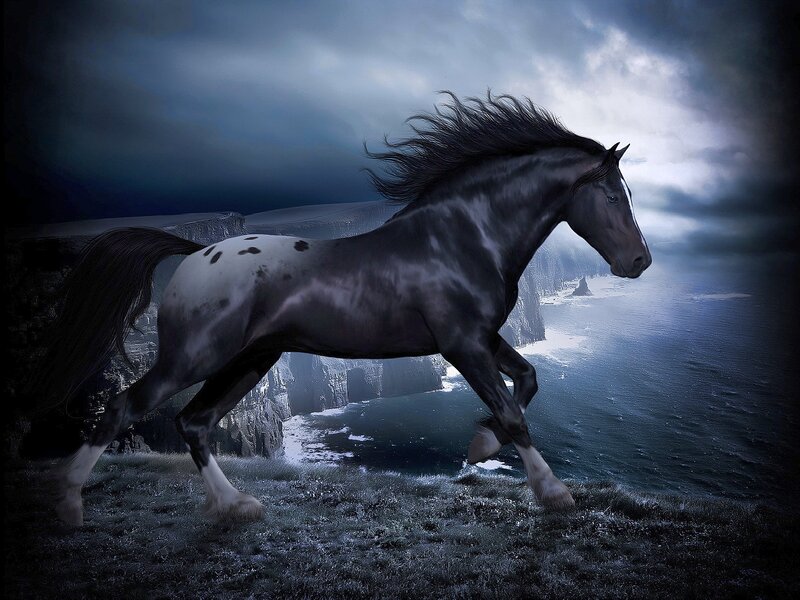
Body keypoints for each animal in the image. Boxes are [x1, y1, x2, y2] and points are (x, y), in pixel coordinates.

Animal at [43, 92, 651, 526]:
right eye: (613, 195)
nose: (640, 262)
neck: (464, 236)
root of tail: (195, 252)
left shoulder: (482, 337)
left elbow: (527, 380)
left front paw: (479, 447)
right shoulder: (462, 344)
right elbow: (512, 411)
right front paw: (553, 492)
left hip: (249, 361)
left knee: (193, 422)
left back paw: (236, 507)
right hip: (195, 356)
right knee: (123, 407)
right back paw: (69, 505)